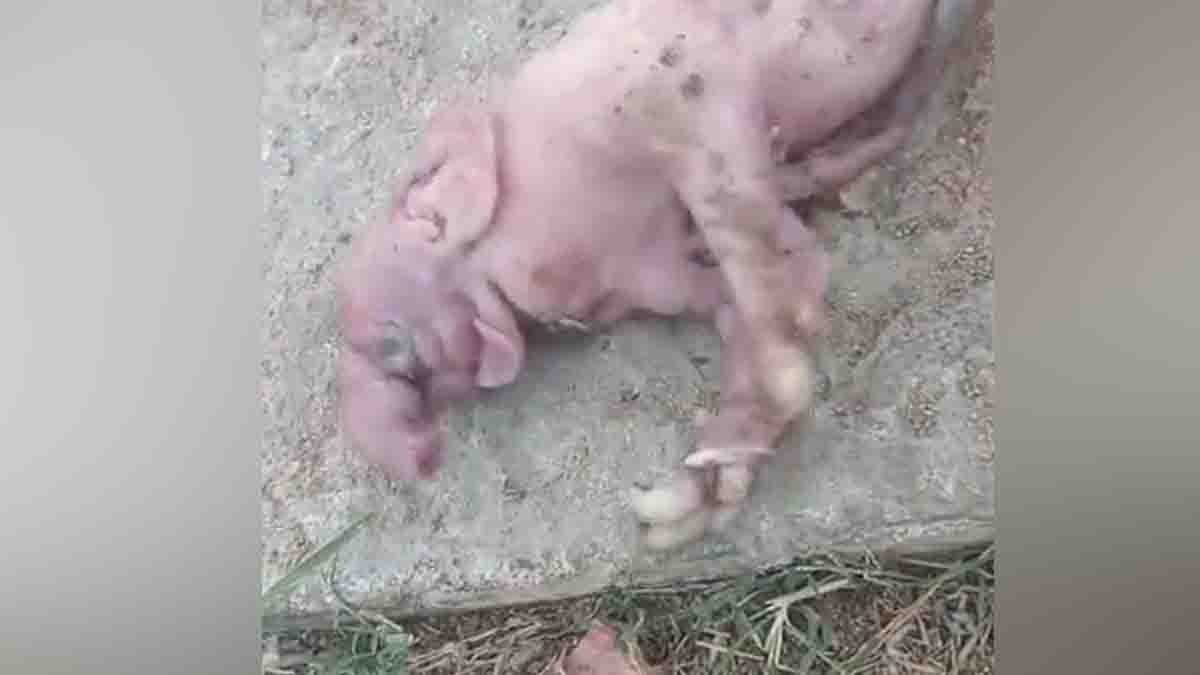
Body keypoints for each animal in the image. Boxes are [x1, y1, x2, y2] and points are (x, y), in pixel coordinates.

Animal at [336, 0, 981, 549]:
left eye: (389, 342)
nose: (420, 459)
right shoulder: (660, 273)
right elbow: (743, 304)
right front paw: (691, 497)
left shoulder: (688, 107)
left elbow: (784, 291)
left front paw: (680, 490)